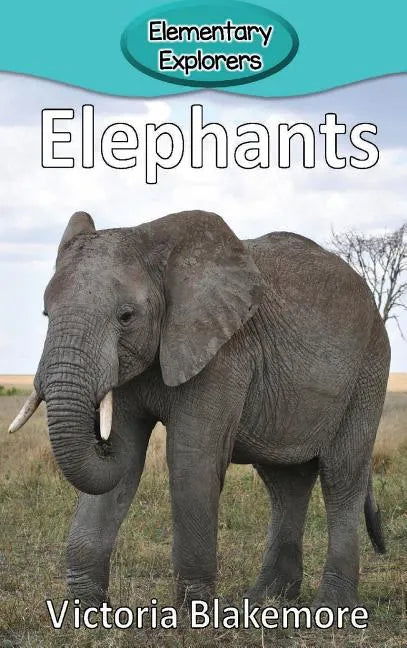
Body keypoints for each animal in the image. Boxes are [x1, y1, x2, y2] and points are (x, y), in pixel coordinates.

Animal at [10, 209, 389, 610]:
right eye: (46, 313)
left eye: (126, 316)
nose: (99, 438)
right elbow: (126, 459)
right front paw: (85, 609)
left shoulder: (223, 352)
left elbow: (190, 459)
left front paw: (194, 612)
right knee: (285, 483)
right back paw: (265, 600)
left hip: (369, 367)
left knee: (341, 475)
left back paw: (330, 607)